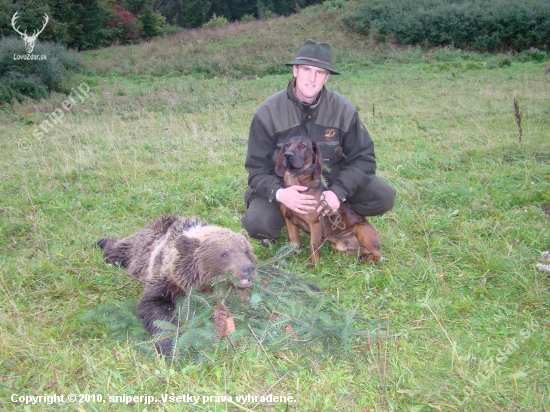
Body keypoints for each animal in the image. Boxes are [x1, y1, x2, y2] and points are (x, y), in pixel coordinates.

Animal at [97, 216, 256, 354]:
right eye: (224, 254)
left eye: (246, 250)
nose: (248, 268)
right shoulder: (168, 281)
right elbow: (154, 306)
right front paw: (168, 344)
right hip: (140, 248)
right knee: (121, 250)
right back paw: (102, 242)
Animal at [274, 134, 382, 266]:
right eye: (287, 145)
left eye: (302, 145)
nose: (287, 155)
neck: (297, 183)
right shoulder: (289, 220)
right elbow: (294, 244)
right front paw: (288, 259)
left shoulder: (315, 224)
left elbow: (314, 246)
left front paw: (314, 266)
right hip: (339, 246)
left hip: (360, 229)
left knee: (379, 254)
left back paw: (371, 262)